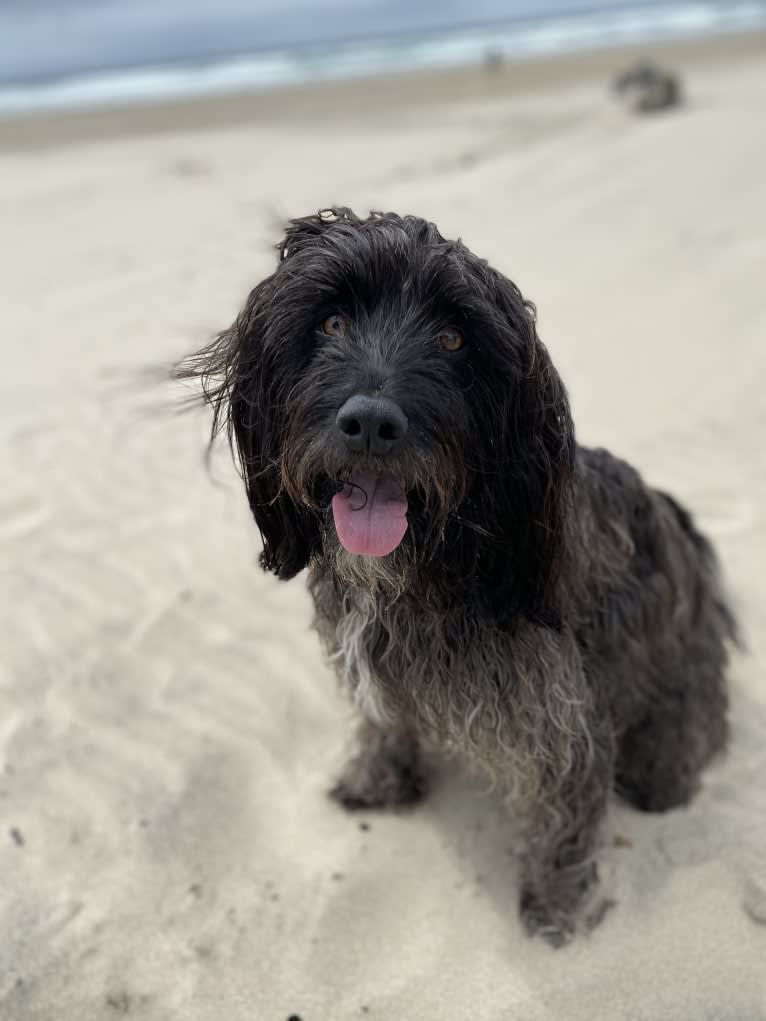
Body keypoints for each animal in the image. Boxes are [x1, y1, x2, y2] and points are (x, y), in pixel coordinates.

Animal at [179, 209, 739, 947]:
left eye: (453, 337)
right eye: (330, 321)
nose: (370, 423)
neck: (428, 570)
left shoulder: (560, 721)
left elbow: (563, 818)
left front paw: (556, 906)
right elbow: (381, 721)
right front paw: (377, 777)